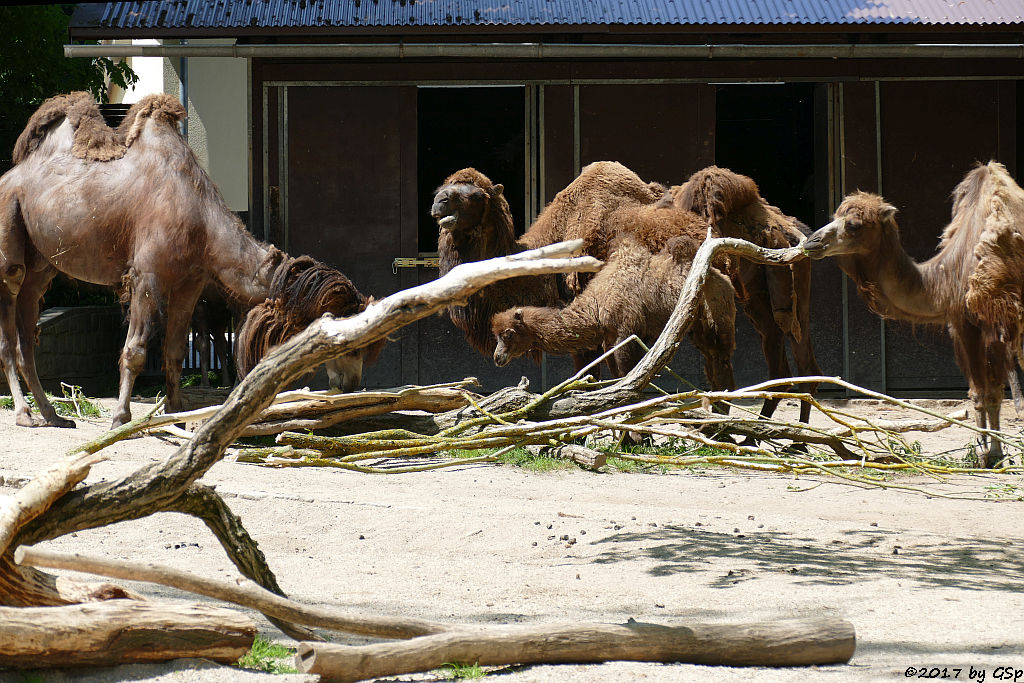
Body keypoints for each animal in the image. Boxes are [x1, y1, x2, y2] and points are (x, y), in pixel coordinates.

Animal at [489, 225, 737, 393]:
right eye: (496, 335)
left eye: (508, 333)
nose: (497, 357)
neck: (596, 306)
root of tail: (723, 279)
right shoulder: (608, 339)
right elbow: (617, 376)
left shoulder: (625, 333)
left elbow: (628, 377)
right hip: (699, 328)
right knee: (713, 363)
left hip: (717, 317)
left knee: (722, 361)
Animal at [802, 162, 1024, 466]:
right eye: (834, 216)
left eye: (853, 225)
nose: (811, 242)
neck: (948, 279)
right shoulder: (969, 323)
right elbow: (990, 392)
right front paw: (995, 455)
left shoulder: (982, 319)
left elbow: (984, 392)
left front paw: (986, 454)